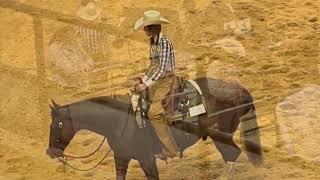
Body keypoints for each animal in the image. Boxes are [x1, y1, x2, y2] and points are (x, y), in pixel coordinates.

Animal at [46, 76, 264, 179]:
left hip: (222, 135)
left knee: (232, 154)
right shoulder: (122, 157)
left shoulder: (146, 158)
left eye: (59, 124)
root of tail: (242, 90)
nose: (50, 152)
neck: (119, 121)